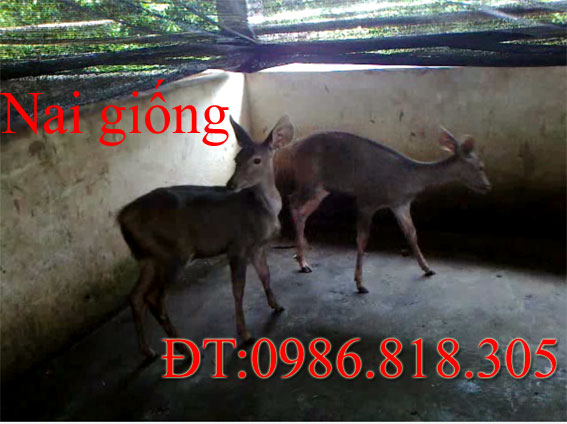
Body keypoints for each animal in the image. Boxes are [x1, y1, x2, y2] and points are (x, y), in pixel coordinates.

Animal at [118, 115, 294, 358]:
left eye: (257, 160)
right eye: (237, 158)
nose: (230, 184)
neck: (262, 208)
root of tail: (123, 218)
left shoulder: (257, 246)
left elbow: (265, 276)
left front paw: (277, 305)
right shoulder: (237, 245)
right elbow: (238, 290)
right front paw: (245, 334)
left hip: (148, 257)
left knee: (135, 296)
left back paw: (148, 350)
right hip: (173, 253)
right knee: (154, 299)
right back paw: (183, 348)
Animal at [279, 127, 491, 294]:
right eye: (480, 166)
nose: (488, 186)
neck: (409, 180)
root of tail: (294, 147)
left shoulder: (400, 204)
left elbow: (411, 233)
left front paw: (427, 268)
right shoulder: (367, 200)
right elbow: (362, 239)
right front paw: (360, 284)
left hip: (321, 188)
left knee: (302, 210)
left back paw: (302, 254)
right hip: (309, 178)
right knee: (292, 201)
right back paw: (302, 260)